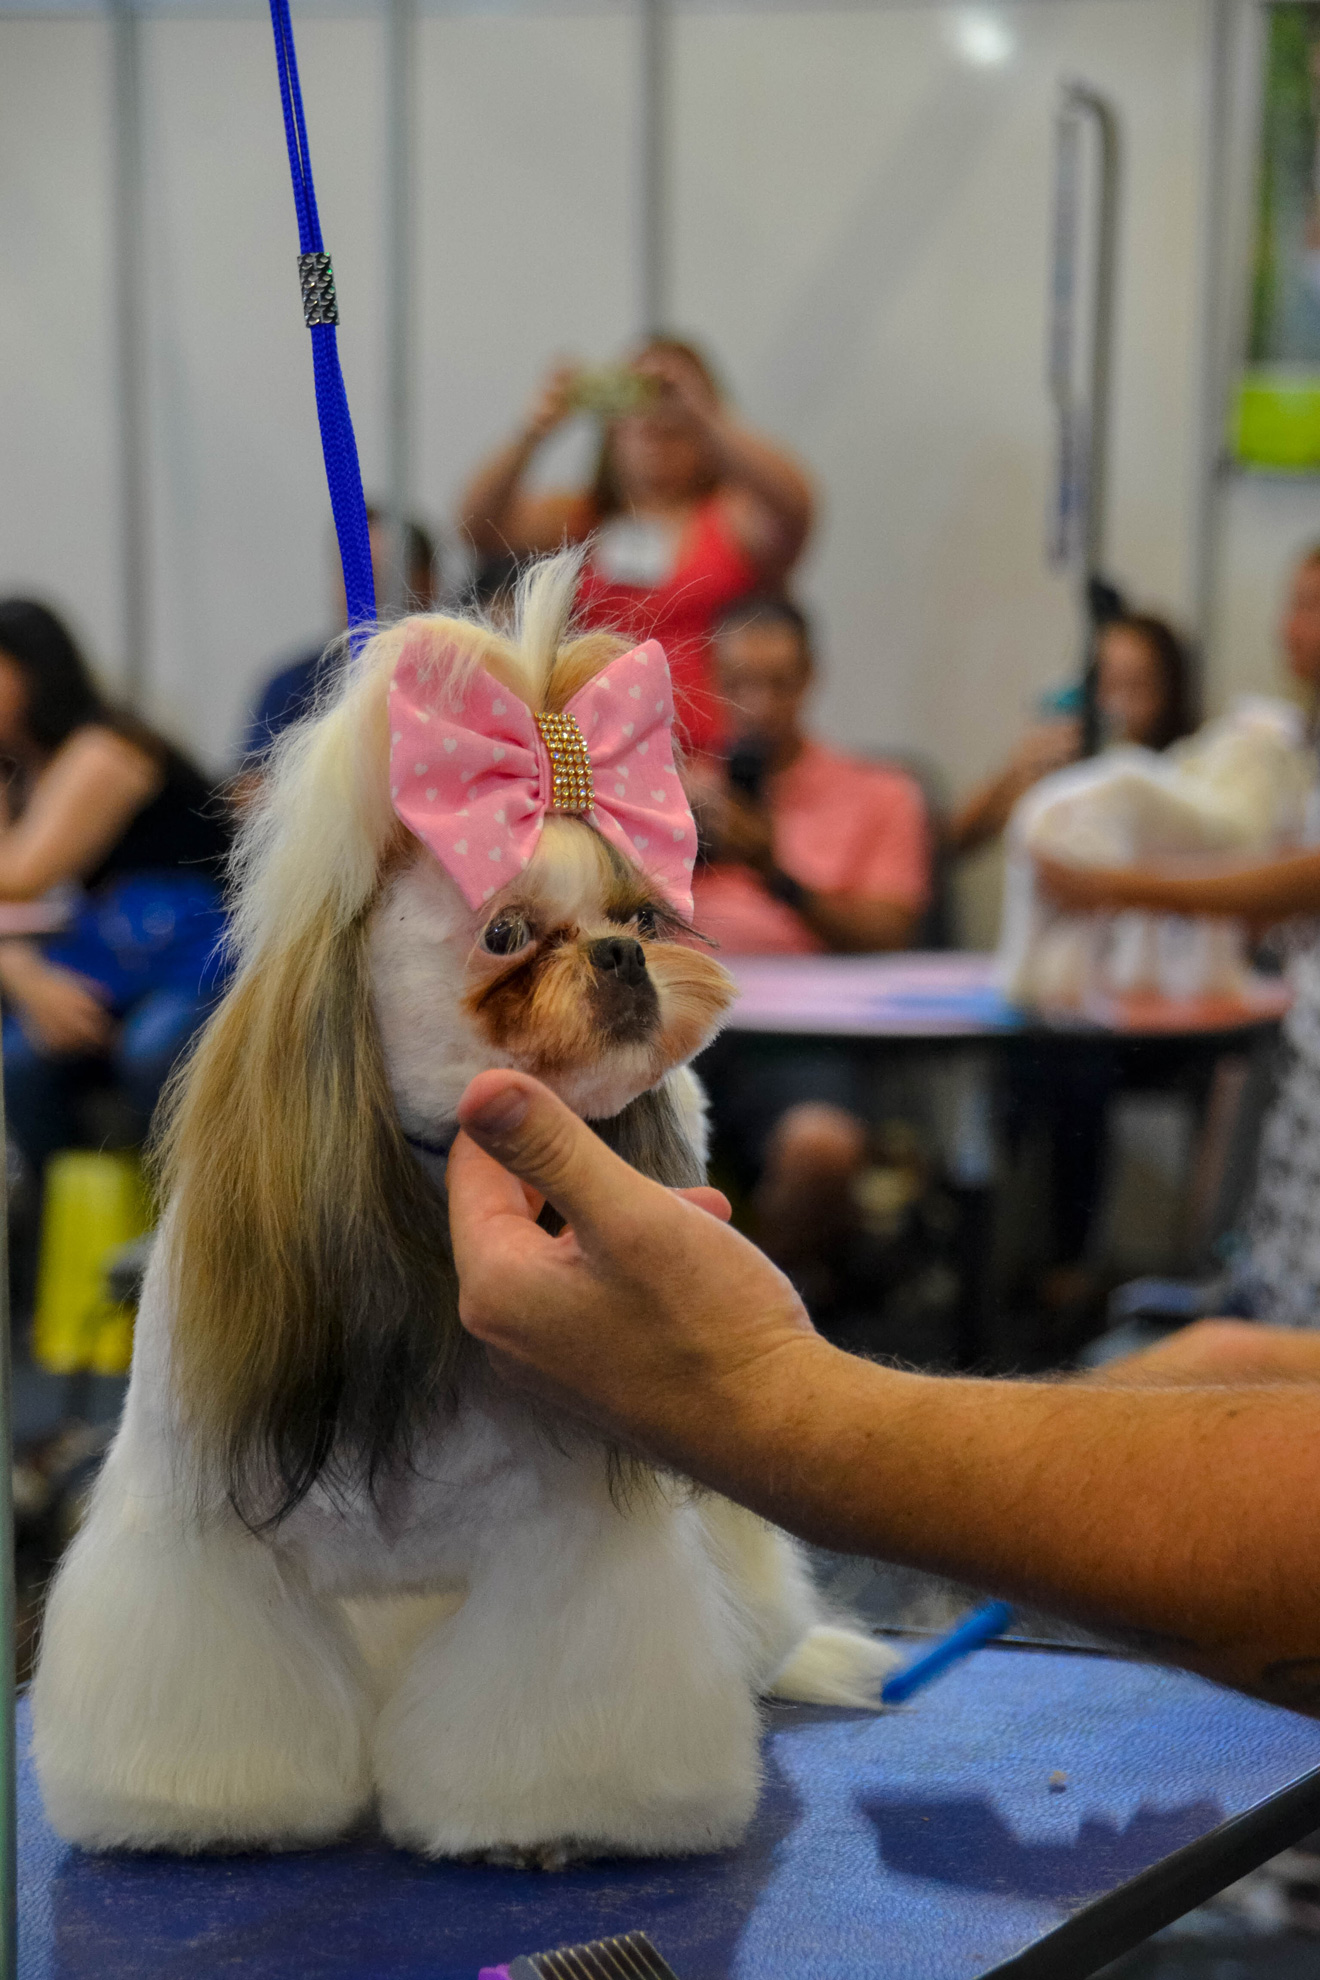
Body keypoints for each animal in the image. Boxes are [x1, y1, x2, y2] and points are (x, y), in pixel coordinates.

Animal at [30, 558, 898, 1869]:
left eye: (642, 915)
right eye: (504, 931)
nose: (622, 958)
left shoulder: (566, 1545)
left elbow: (550, 1687)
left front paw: (549, 1825)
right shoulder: (199, 1531)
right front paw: (204, 1812)